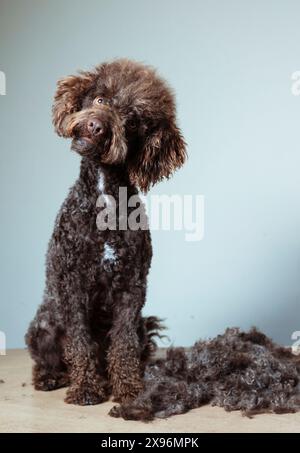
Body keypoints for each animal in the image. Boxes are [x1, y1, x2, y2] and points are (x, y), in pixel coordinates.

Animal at [25, 58, 186, 404]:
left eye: (133, 121)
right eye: (100, 99)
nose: (95, 125)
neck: (104, 199)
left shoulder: (131, 287)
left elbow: (123, 343)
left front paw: (128, 389)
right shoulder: (72, 285)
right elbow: (79, 342)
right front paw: (86, 388)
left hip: (142, 325)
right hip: (44, 323)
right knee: (46, 358)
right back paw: (52, 377)